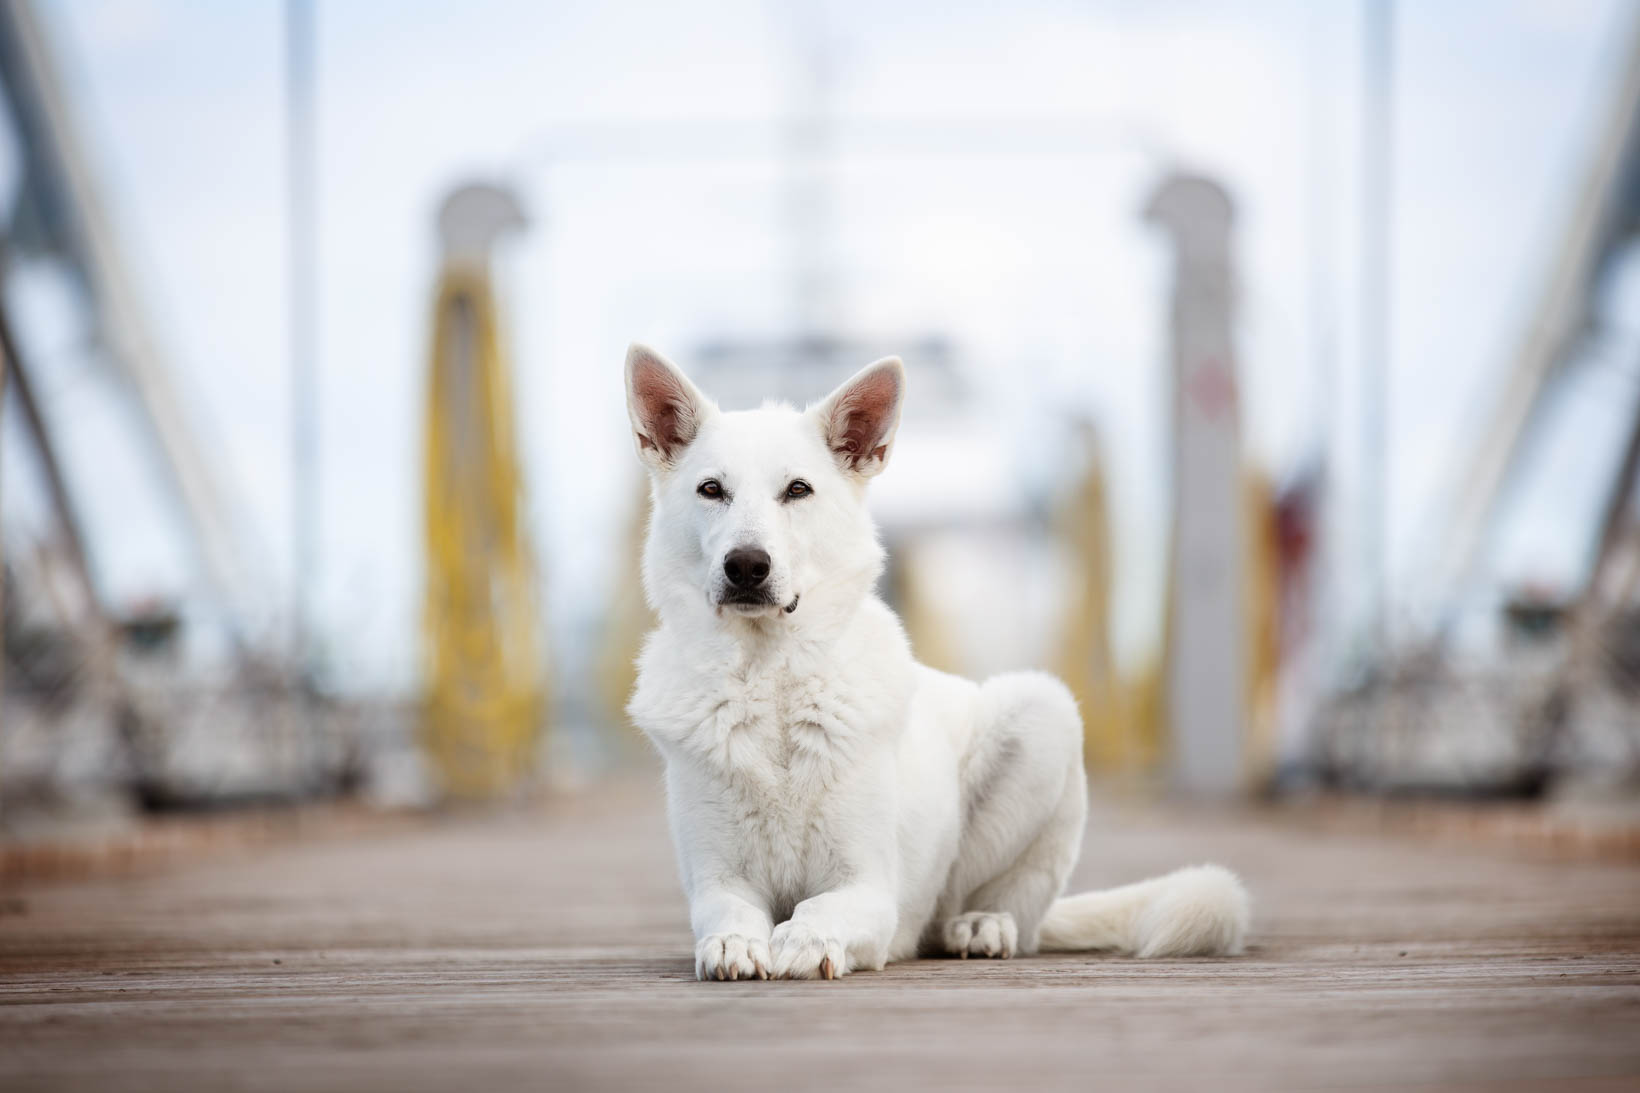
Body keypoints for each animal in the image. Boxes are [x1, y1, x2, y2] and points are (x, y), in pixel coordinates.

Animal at [619, 344, 1246, 971]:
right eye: (710, 490)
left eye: (797, 490)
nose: (747, 565)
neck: (770, 677)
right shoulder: (717, 881)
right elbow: (727, 913)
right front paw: (735, 942)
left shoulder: (868, 888)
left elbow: (820, 909)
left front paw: (805, 940)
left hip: (1042, 713)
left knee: (994, 909)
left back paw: (981, 925)